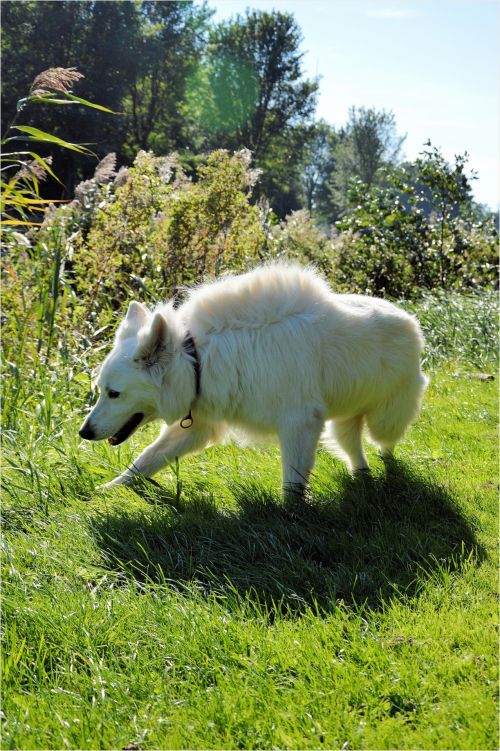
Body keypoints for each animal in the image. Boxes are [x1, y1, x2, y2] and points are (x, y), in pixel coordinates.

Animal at [80, 264, 428, 500]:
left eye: (114, 394)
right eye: (101, 391)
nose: (84, 432)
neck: (197, 359)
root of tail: (408, 318)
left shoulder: (298, 424)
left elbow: (292, 483)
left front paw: (291, 518)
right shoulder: (196, 428)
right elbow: (144, 461)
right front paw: (106, 491)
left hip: (384, 420)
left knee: (384, 442)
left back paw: (387, 468)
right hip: (341, 423)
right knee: (354, 448)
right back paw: (363, 476)